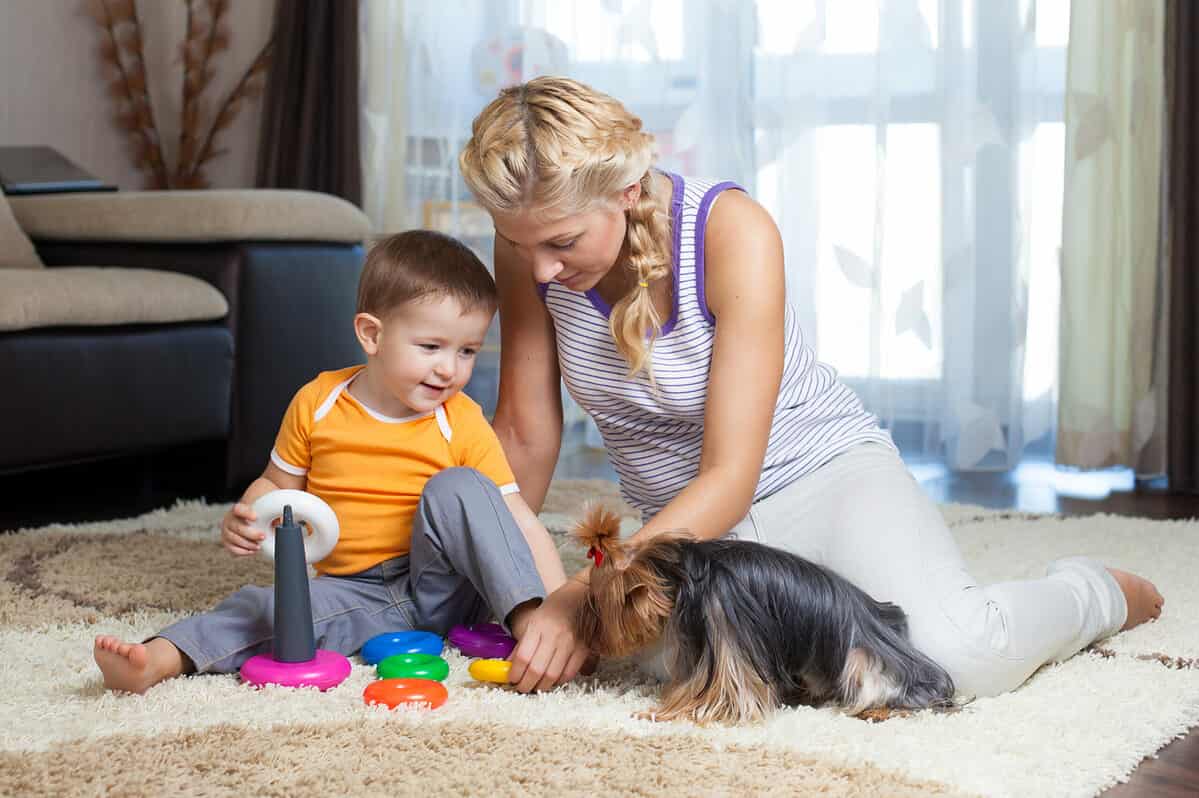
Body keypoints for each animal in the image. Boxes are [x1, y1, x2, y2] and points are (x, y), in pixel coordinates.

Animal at [575, 505, 959, 723]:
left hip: (863, 660)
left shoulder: (723, 625)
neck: (682, 571)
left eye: (594, 605)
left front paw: (655, 711)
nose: (588, 635)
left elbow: (719, 694)